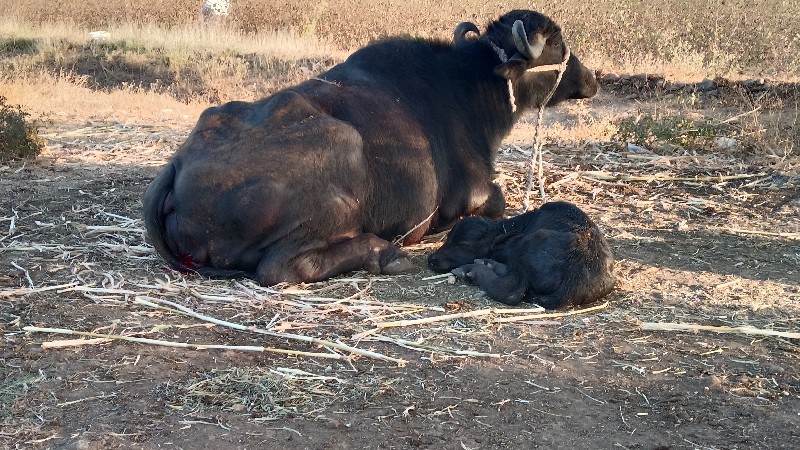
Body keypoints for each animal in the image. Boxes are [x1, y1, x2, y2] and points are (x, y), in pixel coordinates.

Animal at [142, 9, 592, 284]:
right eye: (556, 45)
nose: (592, 79)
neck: (467, 89)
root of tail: (178, 165)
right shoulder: (470, 196)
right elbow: (497, 201)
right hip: (342, 148)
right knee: (282, 268)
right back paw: (382, 253)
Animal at [428, 201, 616, 310]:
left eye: (464, 243)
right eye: (448, 239)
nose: (431, 259)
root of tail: (573, 279)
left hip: (530, 246)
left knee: (511, 291)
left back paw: (471, 270)